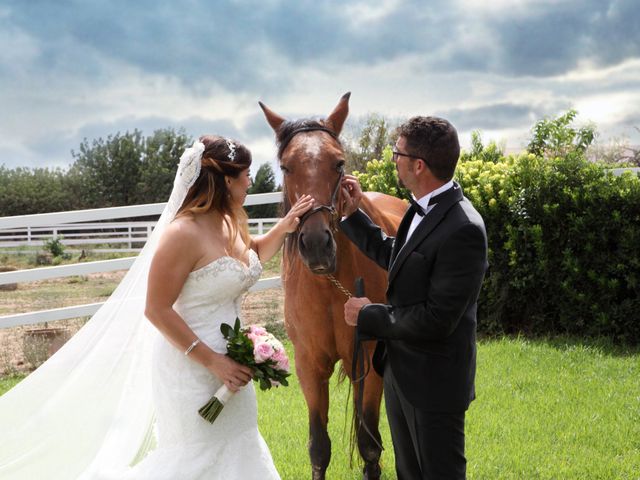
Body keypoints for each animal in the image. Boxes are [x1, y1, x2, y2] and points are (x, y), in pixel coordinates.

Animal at [258, 92, 404, 478]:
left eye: (338, 163)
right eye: (286, 167)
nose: (316, 244)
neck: (328, 289)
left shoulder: (368, 363)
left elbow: (369, 446)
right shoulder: (310, 367)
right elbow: (319, 447)